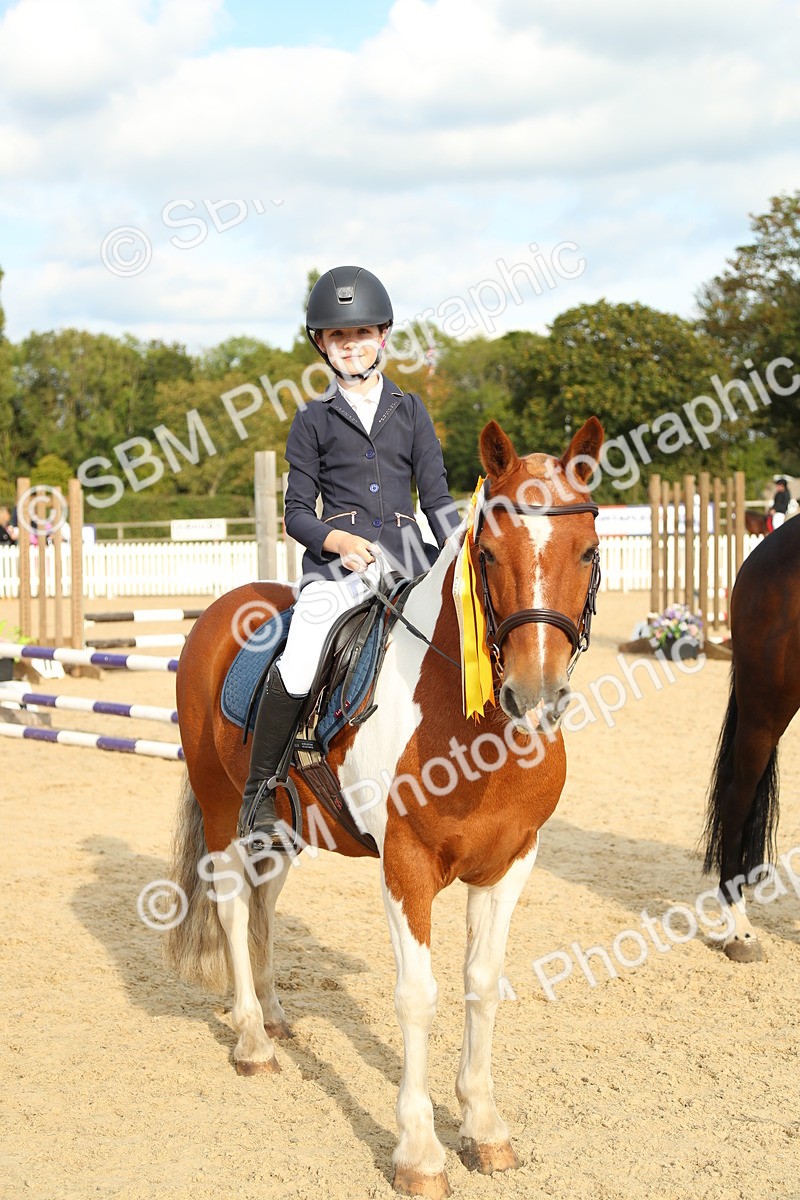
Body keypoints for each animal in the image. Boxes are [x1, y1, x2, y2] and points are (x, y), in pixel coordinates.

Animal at [166, 417, 604, 1199]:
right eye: (488, 554)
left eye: (587, 550)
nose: (534, 695)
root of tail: (221, 608)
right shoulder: (407, 865)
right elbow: (417, 996)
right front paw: (419, 1150)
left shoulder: (511, 862)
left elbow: (482, 985)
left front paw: (484, 1127)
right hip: (223, 812)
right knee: (233, 907)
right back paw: (250, 1040)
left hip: (283, 825)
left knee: (264, 903)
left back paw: (275, 1016)